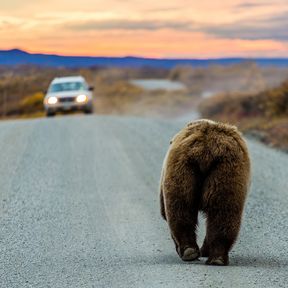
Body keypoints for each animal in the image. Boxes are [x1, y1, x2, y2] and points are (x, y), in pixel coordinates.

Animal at [160, 119, 250, 266]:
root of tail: (206, 150)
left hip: (183, 168)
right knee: (223, 211)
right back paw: (216, 257)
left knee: (180, 210)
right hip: (224, 170)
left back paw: (189, 251)